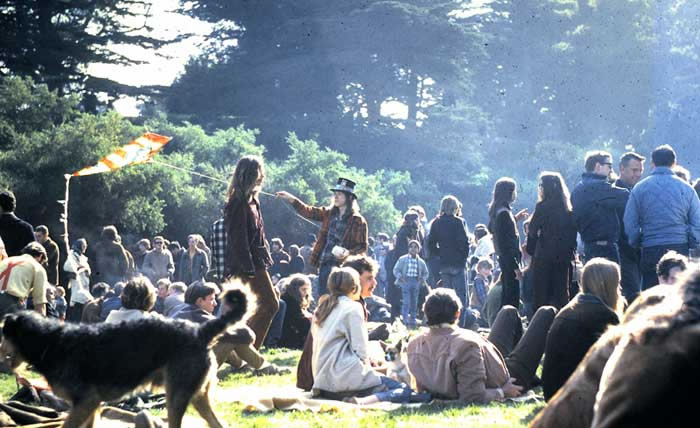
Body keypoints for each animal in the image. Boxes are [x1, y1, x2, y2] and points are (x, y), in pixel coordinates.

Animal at [1, 288, 247, 428]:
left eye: (2, 332)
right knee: (217, 424)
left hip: (177, 396)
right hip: (196, 396)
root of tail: (200, 331)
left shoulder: (86, 402)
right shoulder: (90, 407)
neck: (48, 342)